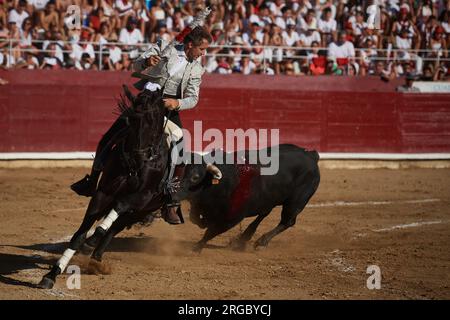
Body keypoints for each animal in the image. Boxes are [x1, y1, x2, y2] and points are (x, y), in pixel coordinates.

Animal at [38, 86, 171, 288]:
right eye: (128, 120)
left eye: (151, 120)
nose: (136, 159)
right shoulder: (104, 193)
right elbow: (78, 236)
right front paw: (51, 275)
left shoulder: (142, 196)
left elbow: (118, 208)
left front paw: (92, 239)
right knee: (113, 227)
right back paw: (95, 260)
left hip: (142, 209)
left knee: (114, 227)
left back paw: (96, 255)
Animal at [176, 144, 320, 251]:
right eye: (182, 172)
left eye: (195, 177)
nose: (175, 192)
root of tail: (311, 156)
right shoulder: (199, 206)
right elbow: (195, 219)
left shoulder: (232, 218)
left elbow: (211, 231)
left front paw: (197, 247)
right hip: (270, 199)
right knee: (264, 213)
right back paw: (243, 239)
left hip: (296, 201)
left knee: (287, 221)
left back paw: (261, 241)